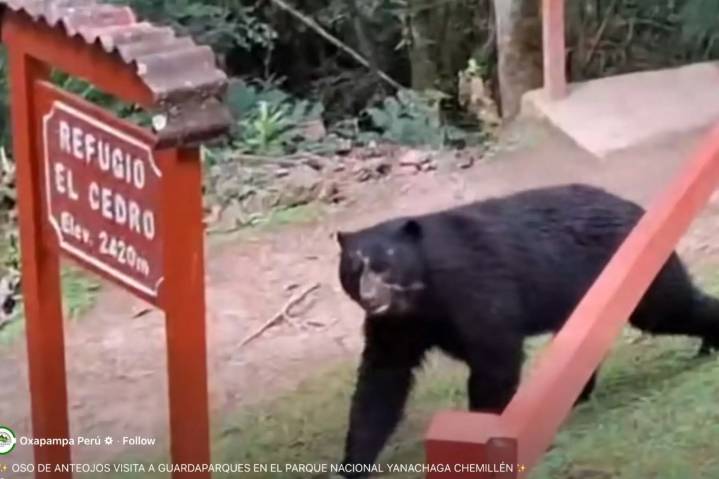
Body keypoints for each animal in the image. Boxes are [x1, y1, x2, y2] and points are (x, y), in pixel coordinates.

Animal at [334, 183, 719, 478]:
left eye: (385, 264)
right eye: (353, 270)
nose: (370, 297)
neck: (422, 300)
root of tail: (635, 206)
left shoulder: (475, 289)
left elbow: (495, 359)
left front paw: (481, 439)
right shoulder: (396, 327)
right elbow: (381, 383)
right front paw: (354, 464)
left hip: (636, 275)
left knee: (670, 307)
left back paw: (709, 342)